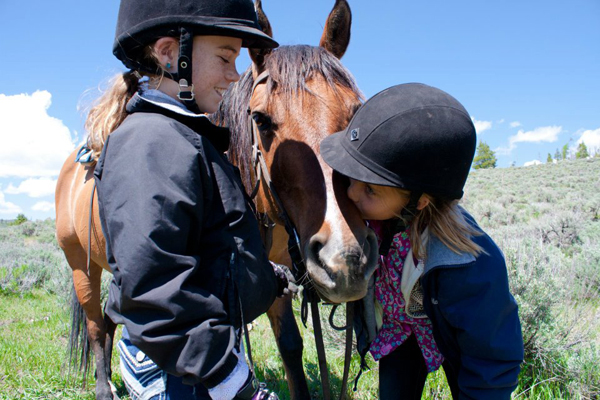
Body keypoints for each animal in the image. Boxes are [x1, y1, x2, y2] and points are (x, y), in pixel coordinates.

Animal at [55, 1, 376, 398]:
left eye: (355, 111)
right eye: (261, 119)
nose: (345, 259)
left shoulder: (279, 272)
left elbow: (290, 347)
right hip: (81, 268)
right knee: (96, 326)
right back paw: (103, 387)